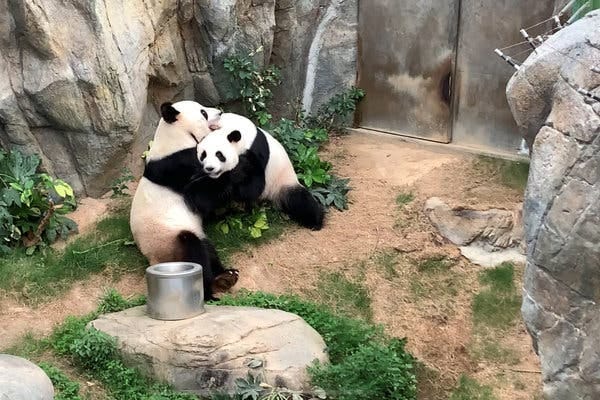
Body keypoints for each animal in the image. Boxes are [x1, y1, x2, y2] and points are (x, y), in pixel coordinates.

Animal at [131, 100, 239, 300]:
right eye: (203, 112)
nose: (220, 112)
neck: (175, 137)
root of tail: (153, 260)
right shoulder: (178, 165)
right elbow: (200, 196)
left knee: (208, 249)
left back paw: (225, 277)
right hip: (169, 240)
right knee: (194, 250)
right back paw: (209, 289)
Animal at [195, 113, 326, 231]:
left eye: (219, 155)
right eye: (203, 155)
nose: (210, 168)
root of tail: (269, 198)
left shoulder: (256, 151)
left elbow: (253, 187)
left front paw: (237, 174)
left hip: (282, 182)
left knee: (300, 201)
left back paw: (315, 222)